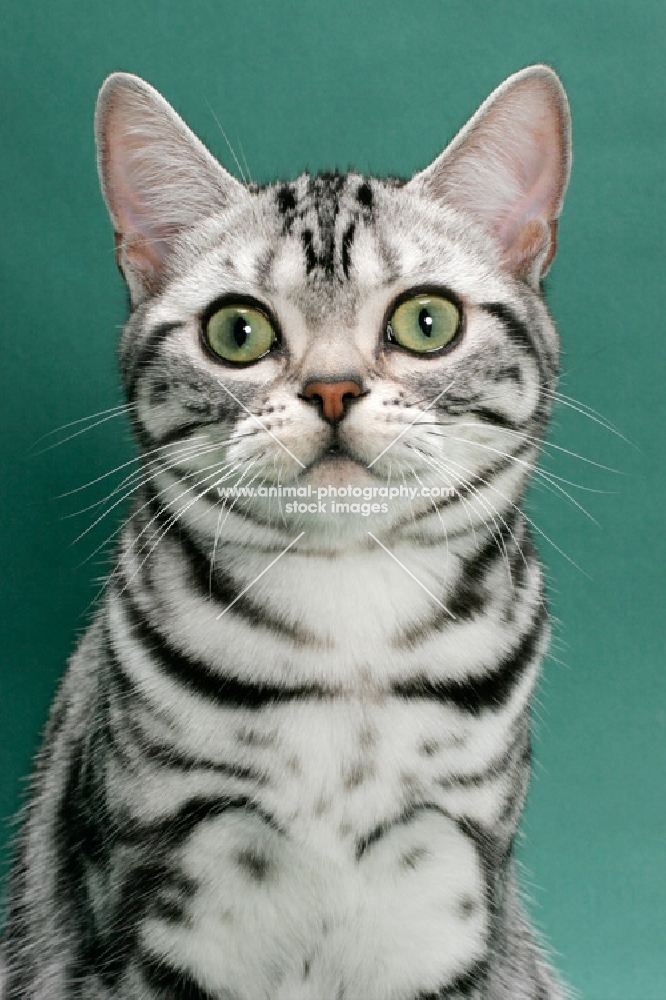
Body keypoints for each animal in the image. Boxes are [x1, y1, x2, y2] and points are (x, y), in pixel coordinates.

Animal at [0, 64, 572, 1000]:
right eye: (238, 332)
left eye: (426, 322)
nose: (333, 388)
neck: (350, 621)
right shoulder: (159, 883)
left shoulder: (450, 884)